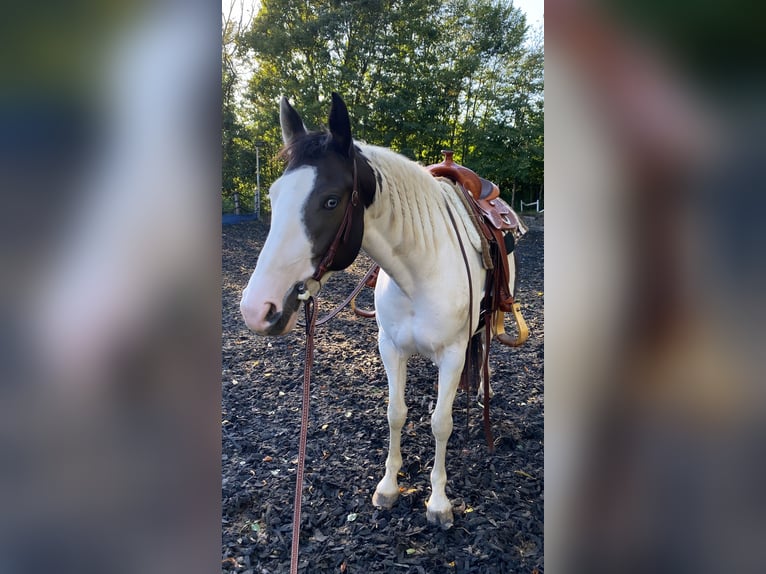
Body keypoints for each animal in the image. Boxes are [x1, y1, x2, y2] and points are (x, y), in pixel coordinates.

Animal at [240, 93, 518, 528]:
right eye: (272, 197)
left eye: (331, 200)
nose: (256, 308)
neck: (420, 270)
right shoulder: (390, 346)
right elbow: (395, 413)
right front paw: (388, 487)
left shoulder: (453, 352)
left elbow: (441, 423)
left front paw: (439, 502)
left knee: (485, 350)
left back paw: (480, 392)